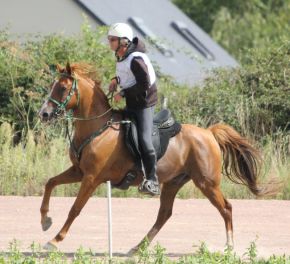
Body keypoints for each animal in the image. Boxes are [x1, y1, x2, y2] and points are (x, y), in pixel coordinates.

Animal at [39, 63, 276, 252]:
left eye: (62, 88)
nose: (44, 114)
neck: (98, 128)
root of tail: (209, 134)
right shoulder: (79, 172)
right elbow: (50, 183)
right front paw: (45, 220)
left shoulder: (92, 178)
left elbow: (75, 209)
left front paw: (55, 240)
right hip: (174, 182)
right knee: (164, 214)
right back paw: (138, 247)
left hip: (206, 182)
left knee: (226, 208)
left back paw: (229, 246)